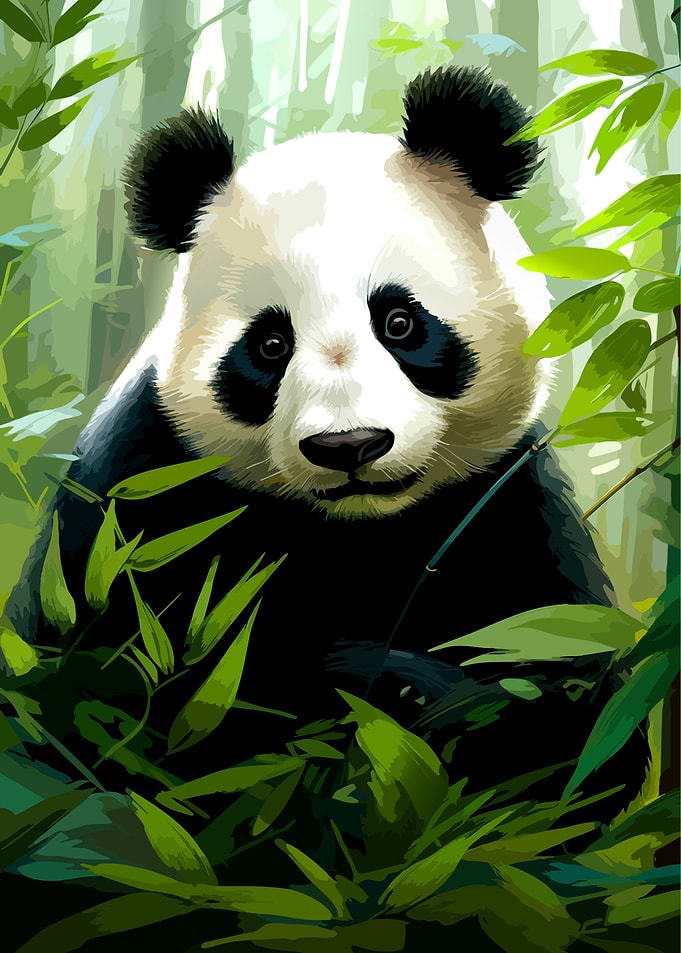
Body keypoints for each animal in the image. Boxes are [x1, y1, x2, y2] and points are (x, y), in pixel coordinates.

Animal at [6, 67, 642, 805]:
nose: (349, 447)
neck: (355, 531)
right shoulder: (136, 489)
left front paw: (397, 690)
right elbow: (105, 689)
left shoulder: (506, 500)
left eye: (399, 322)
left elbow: (573, 707)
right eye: (270, 344)